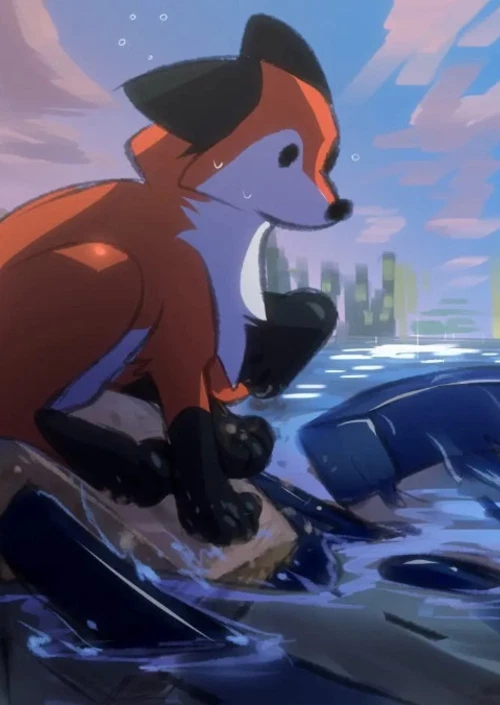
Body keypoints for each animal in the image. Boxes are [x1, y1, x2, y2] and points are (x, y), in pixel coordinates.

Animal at [0, 14, 351, 546]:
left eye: (328, 158)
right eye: (286, 155)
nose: (340, 208)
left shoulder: (216, 321)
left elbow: (314, 309)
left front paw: (238, 425)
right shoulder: (183, 327)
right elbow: (191, 424)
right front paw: (217, 512)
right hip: (111, 270)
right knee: (21, 411)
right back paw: (127, 465)